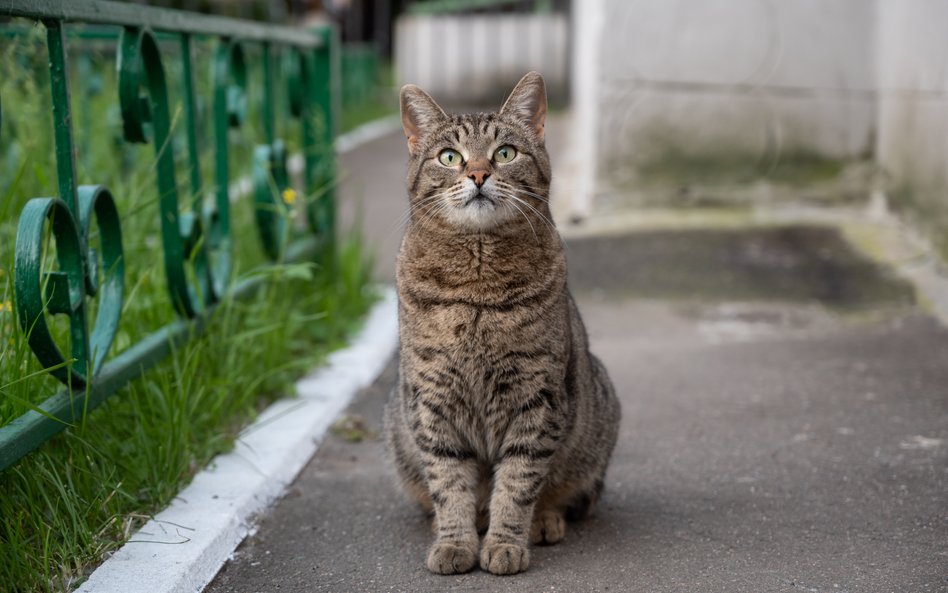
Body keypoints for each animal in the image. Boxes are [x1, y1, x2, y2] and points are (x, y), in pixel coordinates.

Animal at [386, 70, 624, 572]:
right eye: (450, 156)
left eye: (505, 153)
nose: (478, 174)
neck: (477, 284)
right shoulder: (432, 400)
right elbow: (449, 483)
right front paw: (456, 542)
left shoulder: (538, 399)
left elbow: (517, 483)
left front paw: (505, 543)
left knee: (562, 492)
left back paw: (543, 521)